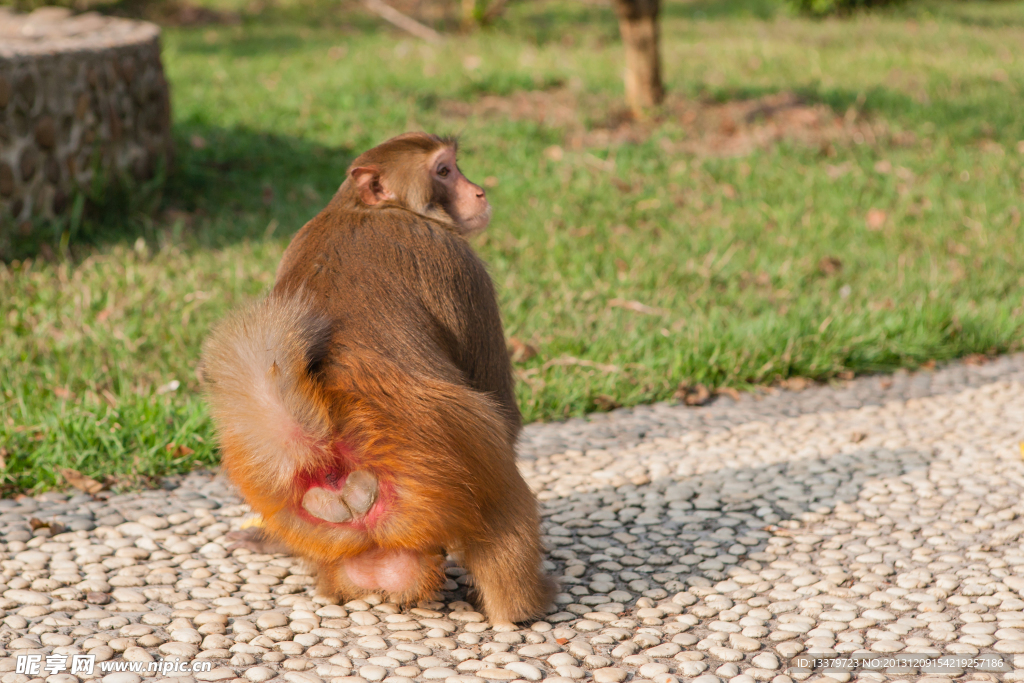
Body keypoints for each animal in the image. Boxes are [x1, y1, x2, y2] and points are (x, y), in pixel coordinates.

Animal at [200, 133, 552, 626]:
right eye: (445, 171)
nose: (479, 192)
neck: (364, 208)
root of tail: (320, 445)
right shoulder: (454, 258)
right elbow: (502, 403)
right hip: (456, 451)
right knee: (501, 478)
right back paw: (520, 610)